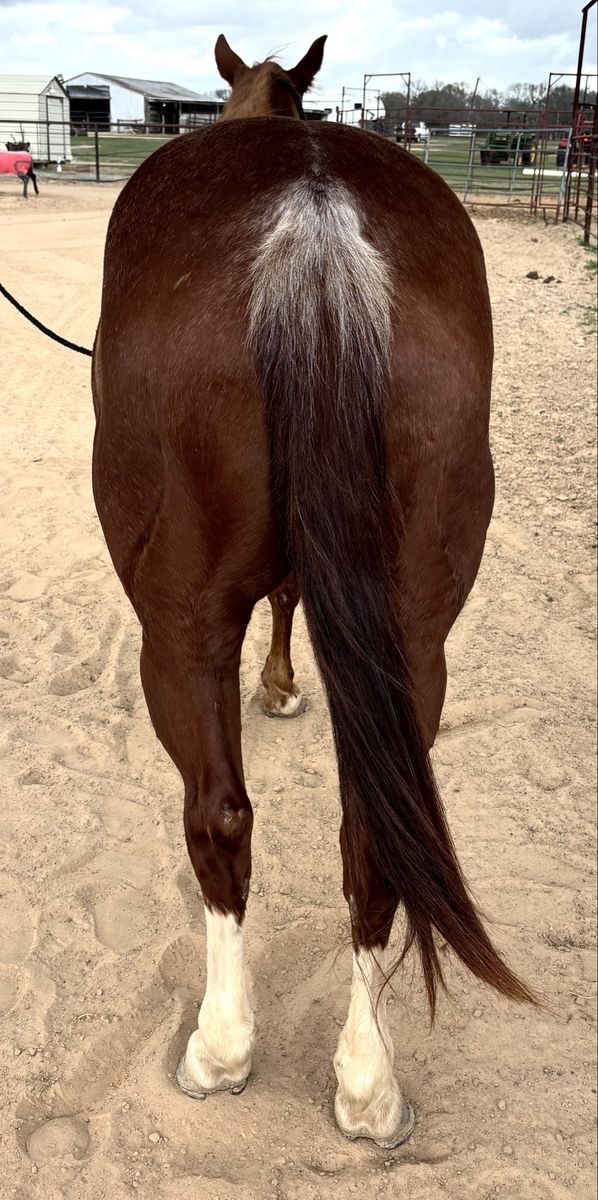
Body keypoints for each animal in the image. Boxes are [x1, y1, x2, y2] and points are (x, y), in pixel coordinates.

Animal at [92, 34, 535, 1149]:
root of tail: (312, 221)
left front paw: (281, 686)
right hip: (415, 639)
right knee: (375, 834)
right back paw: (368, 1087)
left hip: (180, 629)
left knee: (217, 817)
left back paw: (220, 1050)